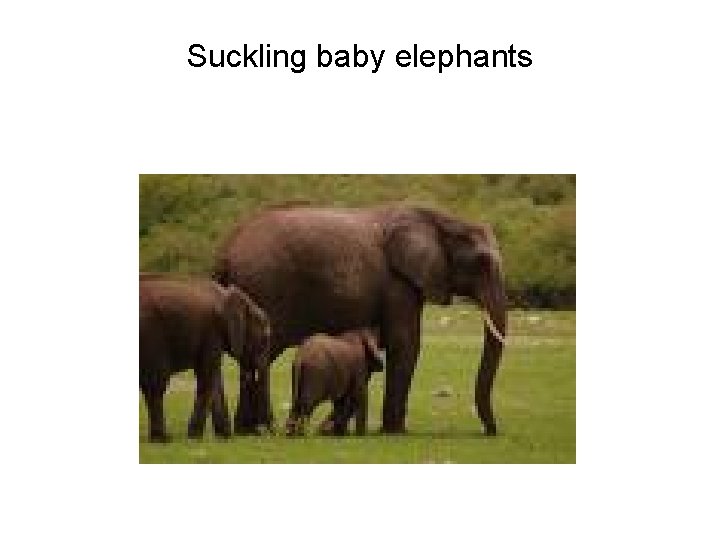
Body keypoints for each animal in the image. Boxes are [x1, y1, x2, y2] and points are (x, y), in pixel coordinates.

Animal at [139, 273, 271, 442]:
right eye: (265, 339)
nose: (263, 432)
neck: (227, 294)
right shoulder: (212, 331)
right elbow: (207, 377)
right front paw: (194, 437)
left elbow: (213, 380)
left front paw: (224, 437)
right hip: (151, 335)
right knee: (156, 385)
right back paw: (162, 439)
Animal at [213, 205, 507, 435]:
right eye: (482, 262)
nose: (490, 431)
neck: (441, 219)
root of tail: (226, 250)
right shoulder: (397, 282)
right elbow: (406, 345)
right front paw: (395, 432)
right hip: (266, 287)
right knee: (261, 355)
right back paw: (262, 429)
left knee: (250, 359)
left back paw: (247, 431)